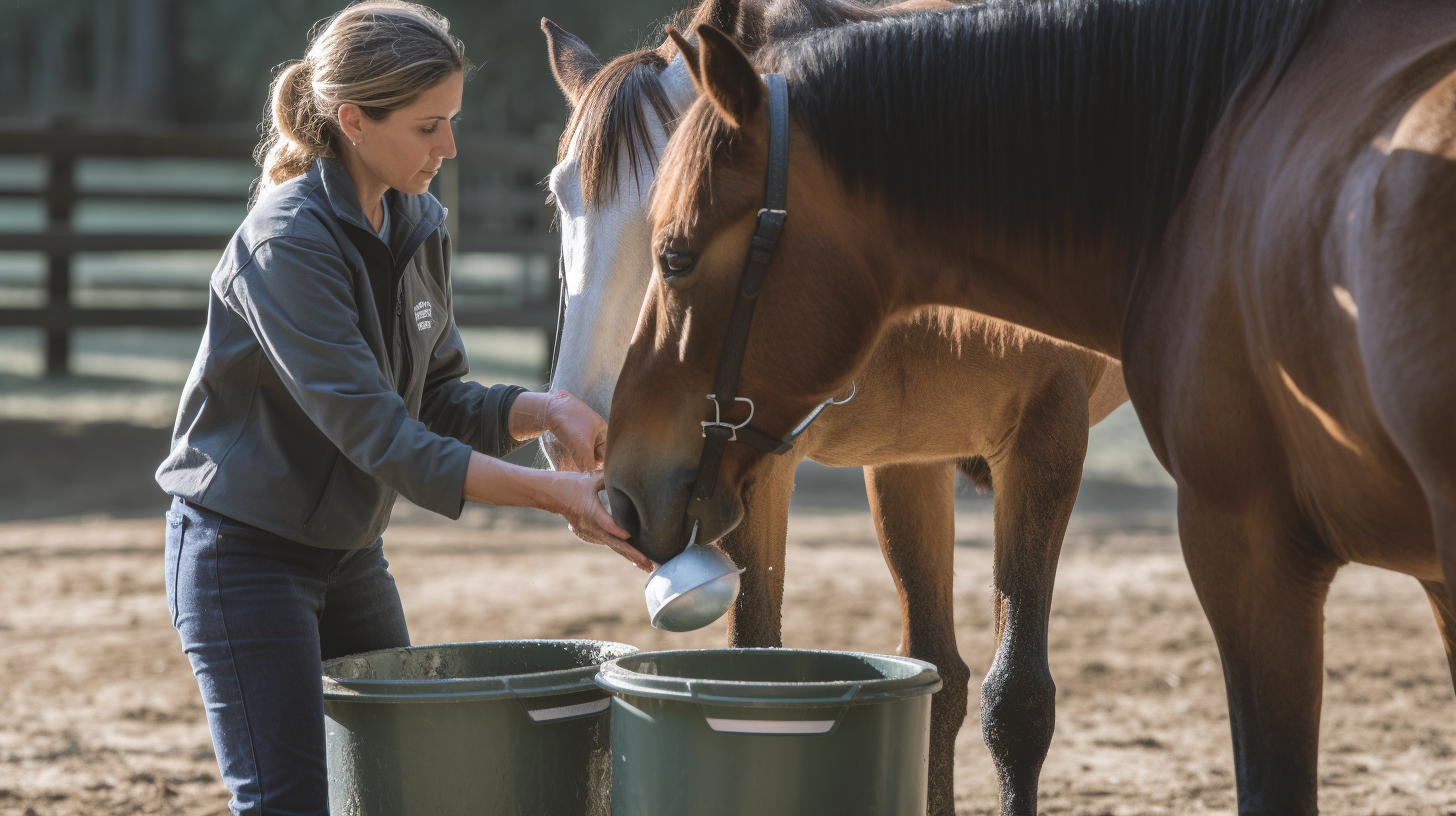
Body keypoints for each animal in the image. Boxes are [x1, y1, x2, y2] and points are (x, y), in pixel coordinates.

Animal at [547, 3, 1124, 810]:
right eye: (560, 198)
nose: (583, 439)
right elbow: (894, 675)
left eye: (676, 228)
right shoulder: (845, 466)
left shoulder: (1048, 441)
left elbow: (1017, 705)